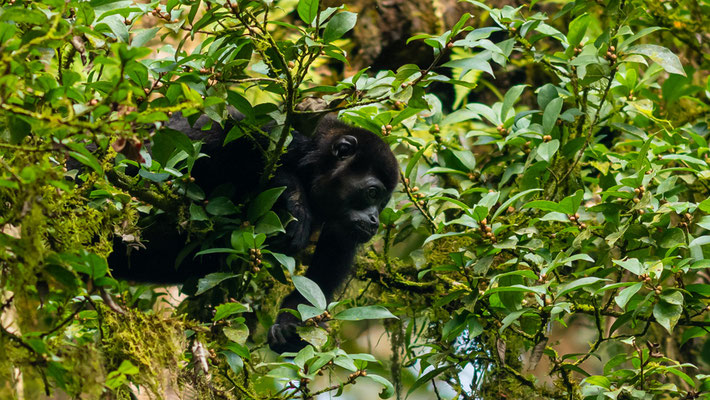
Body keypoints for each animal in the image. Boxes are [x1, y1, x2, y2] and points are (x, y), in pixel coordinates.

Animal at [110, 111, 400, 352]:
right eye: (372, 192)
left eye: (382, 204)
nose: (374, 220)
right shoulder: (285, 134)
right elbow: (230, 136)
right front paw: (295, 202)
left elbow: (327, 267)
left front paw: (290, 325)